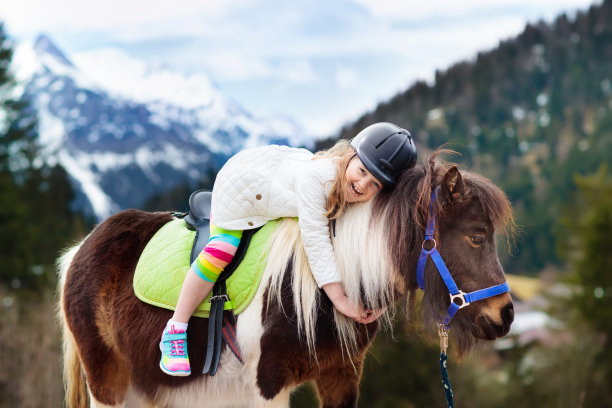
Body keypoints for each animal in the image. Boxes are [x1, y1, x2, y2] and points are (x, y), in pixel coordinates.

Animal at [58, 151, 516, 408]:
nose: (505, 315)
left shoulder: (341, 377)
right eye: (476, 236)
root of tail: (78, 251)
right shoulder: (266, 385)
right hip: (108, 383)